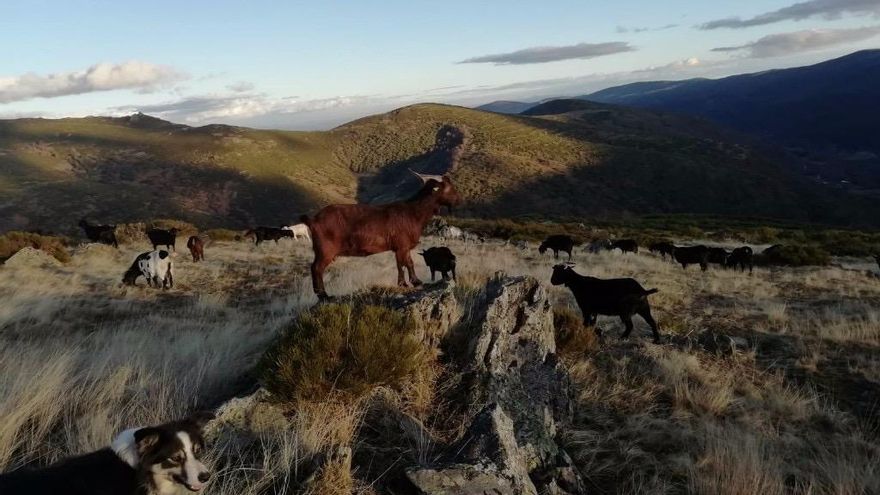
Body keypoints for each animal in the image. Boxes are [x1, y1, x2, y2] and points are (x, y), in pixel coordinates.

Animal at [300, 172, 460, 300]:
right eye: (449, 188)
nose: (458, 200)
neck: (413, 213)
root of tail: (313, 220)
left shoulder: (403, 247)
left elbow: (406, 263)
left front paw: (412, 282)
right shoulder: (401, 246)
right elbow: (403, 264)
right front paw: (406, 283)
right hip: (325, 250)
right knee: (316, 268)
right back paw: (323, 295)